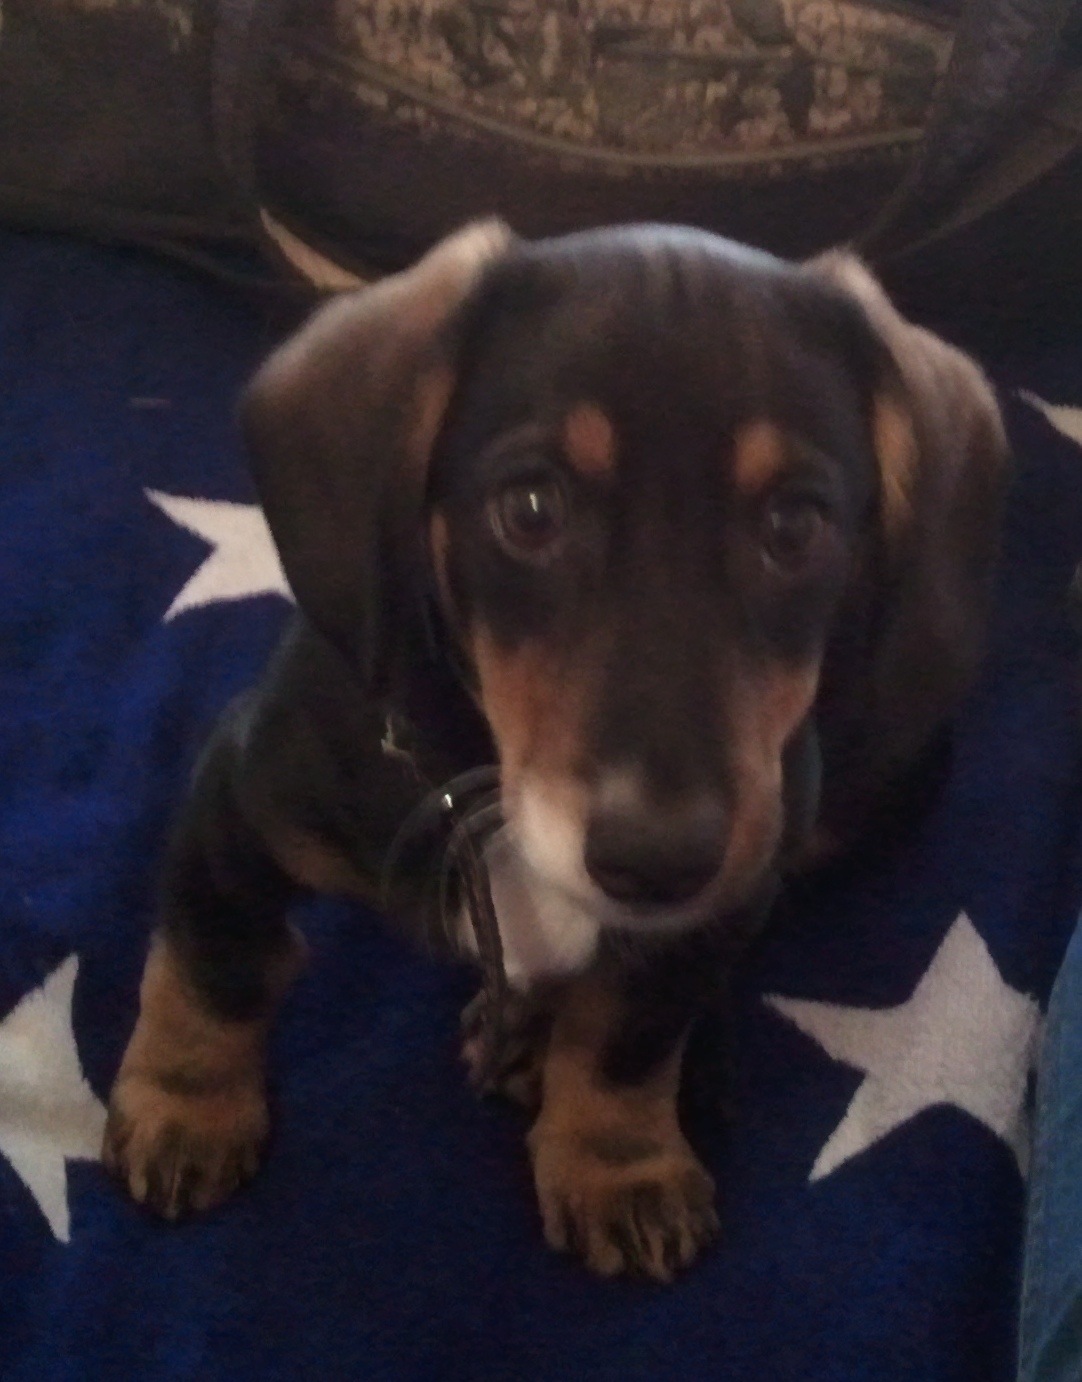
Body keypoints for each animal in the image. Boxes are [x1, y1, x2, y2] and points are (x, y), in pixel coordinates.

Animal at [102, 221, 1007, 1280]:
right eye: (530, 508)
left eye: (795, 524)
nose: (658, 860)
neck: (491, 796)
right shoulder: (242, 800)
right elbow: (220, 958)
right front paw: (187, 1107)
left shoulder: (720, 896)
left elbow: (628, 1037)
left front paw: (619, 1163)